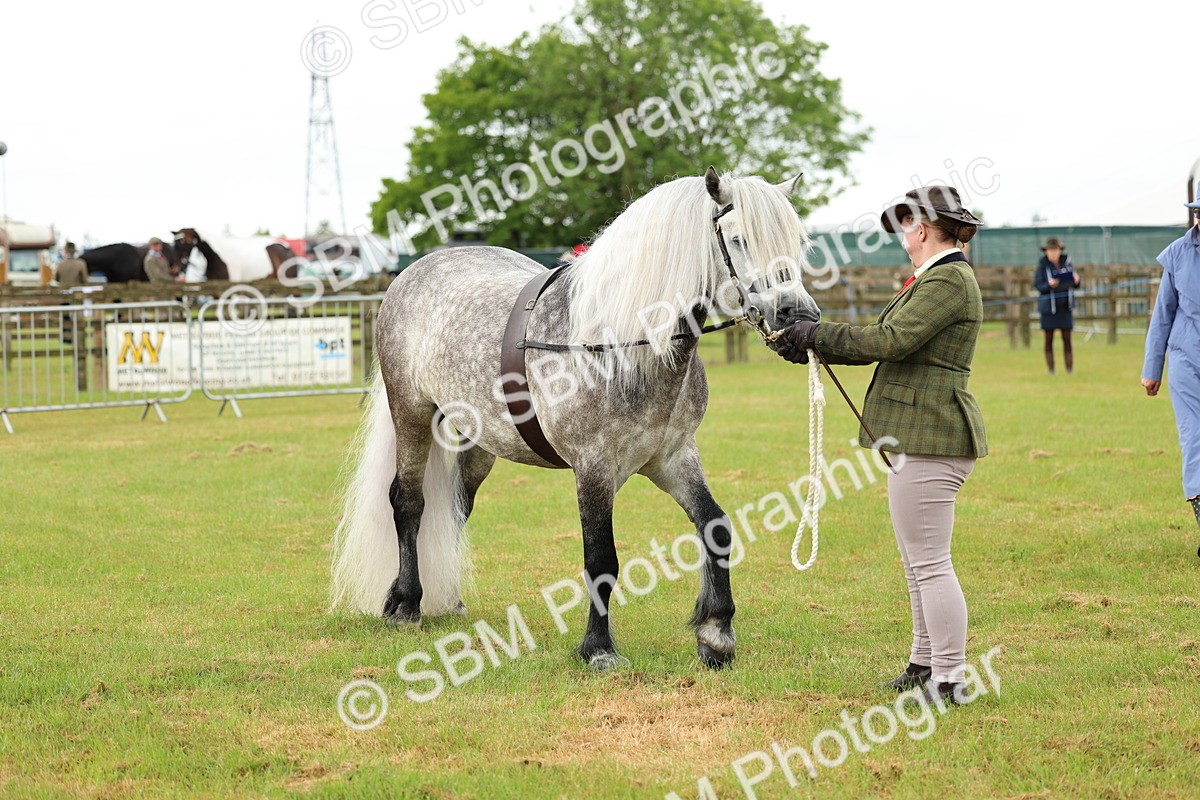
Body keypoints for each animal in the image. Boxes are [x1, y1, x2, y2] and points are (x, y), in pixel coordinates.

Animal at [330, 168, 821, 670]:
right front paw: (599, 648)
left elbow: (715, 528)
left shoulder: (674, 458)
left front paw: (716, 634)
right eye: (739, 238)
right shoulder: (593, 468)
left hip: (479, 443)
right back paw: (407, 603)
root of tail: (412, 273)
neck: (620, 344)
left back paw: (446, 597)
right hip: (412, 413)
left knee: (454, 507)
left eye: (796, 241)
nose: (798, 314)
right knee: (409, 502)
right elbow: (601, 559)